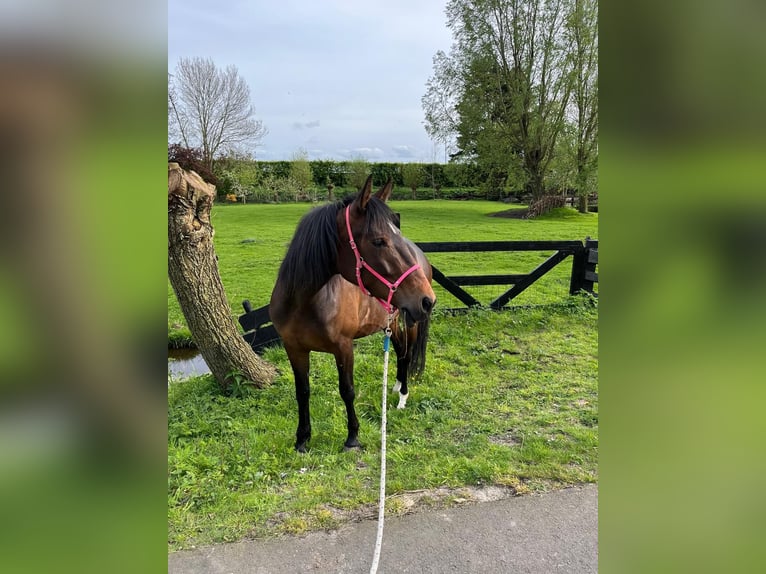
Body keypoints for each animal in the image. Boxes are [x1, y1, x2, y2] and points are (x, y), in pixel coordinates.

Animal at [270, 177, 438, 454]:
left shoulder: (344, 347)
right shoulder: (293, 348)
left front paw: (352, 438)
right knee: (400, 351)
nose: (428, 300)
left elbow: (347, 390)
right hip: (392, 321)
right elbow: (302, 391)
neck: (305, 303)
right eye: (378, 241)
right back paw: (395, 386)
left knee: (406, 353)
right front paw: (302, 439)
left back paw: (402, 396)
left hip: (410, 320)